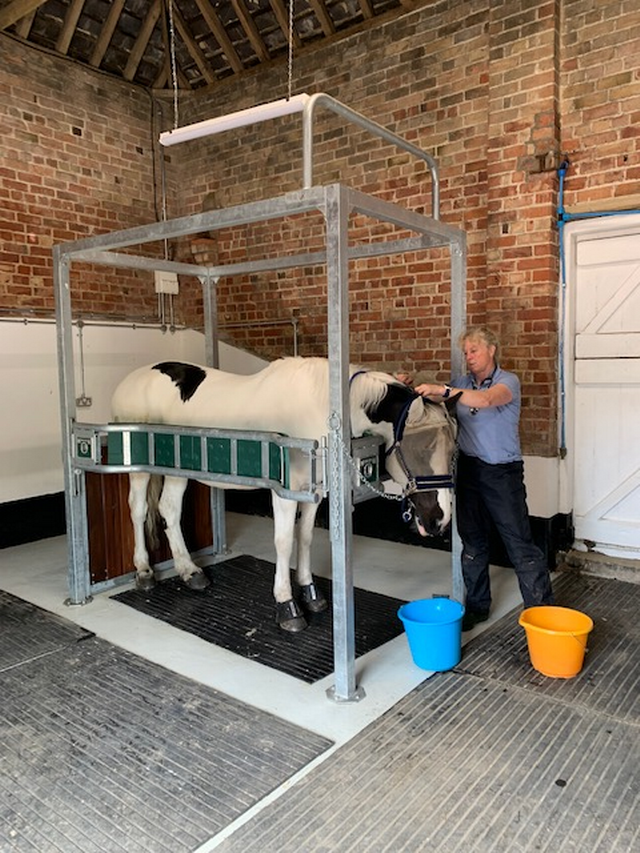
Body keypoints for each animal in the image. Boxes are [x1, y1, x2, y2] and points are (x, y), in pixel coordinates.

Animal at [111, 356, 460, 628]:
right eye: (422, 447)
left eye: (453, 447)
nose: (440, 521)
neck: (321, 411)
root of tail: (129, 382)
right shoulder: (285, 493)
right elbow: (283, 542)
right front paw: (287, 606)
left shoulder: (313, 493)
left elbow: (304, 536)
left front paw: (310, 593)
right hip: (139, 469)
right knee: (138, 509)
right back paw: (144, 572)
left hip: (178, 471)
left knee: (169, 509)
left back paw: (190, 571)